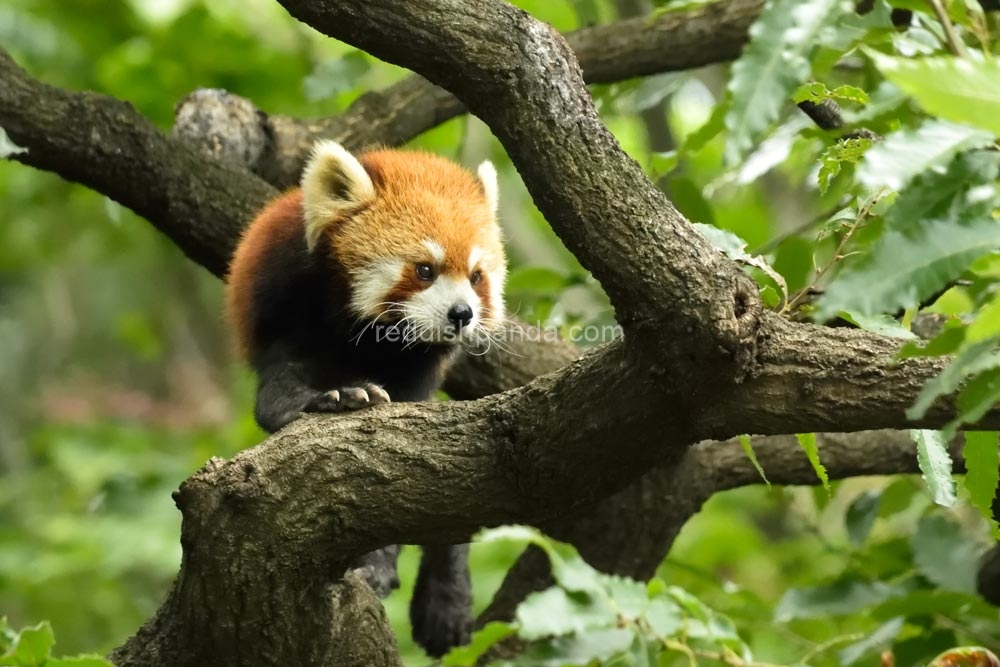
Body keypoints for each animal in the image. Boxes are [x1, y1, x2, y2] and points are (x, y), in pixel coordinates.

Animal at [227, 141, 508, 656]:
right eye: (425, 270)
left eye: (477, 276)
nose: (462, 313)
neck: (371, 337)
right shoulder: (283, 306)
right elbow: (279, 393)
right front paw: (331, 396)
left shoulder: (419, 369)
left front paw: (382, 564)